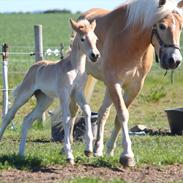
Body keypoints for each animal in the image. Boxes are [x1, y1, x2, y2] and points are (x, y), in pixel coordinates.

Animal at [0, 18, 100, 164]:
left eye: (95, 38)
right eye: (82, 39)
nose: (95, 55)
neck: (74, 69)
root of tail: (35, 67)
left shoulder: (77, 92)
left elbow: (86, 111)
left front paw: (88, 150)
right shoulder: (64, 94)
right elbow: (67, 118)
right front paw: (69, 155)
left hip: (45, 100)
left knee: (27, 119)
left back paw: (21, 154)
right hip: (25, 94)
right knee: (9, 115)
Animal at [74, 0, 183, 167]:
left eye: (181, 27)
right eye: (162, 26)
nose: (174, 60)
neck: (130, 42)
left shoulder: (133, 87)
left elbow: (118, 118)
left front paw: (111, 150)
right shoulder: (115, 83)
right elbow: (123, 114)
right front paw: (127, 155)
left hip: (108, 87)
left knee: (102, 113)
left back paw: (98, 149)